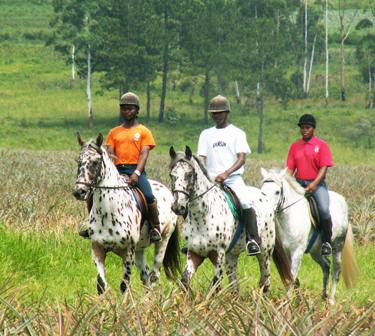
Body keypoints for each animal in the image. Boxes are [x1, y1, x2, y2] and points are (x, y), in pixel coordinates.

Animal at [72, 134, 181, 294]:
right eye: (78, 161)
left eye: (95, 162)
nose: (79, 191)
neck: (108, 212)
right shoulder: (97, 248)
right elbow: (101, 284)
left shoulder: (128, 252)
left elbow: (124, 284)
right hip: (140, 249)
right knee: (145, 276)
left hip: (163, 240)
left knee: (154, 275)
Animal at [169, 146, 292, 292]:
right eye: (172, 175)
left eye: (189, 175)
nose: (178, 206)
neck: (202, 215)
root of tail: (265, 197)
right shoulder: (195, 253)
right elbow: (185, 281)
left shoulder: (218, 253)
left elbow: (216, 284)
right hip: (232, 256)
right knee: (235, 286)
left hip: (265, 253)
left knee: (265, 282)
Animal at [260, 168, 360, 304]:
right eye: (262, 191)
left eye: (277, 192)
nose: (266, 211)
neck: (291, 216)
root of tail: (342, 200)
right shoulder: (287, 252)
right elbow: (293, 278)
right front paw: (297, 301)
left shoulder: (297, 252)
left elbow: (292, 276)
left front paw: (287, 302)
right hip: (316, 251)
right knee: (326, 266)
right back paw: (324, 296)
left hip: (338, 246)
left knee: (336, 270)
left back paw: (331, 300)